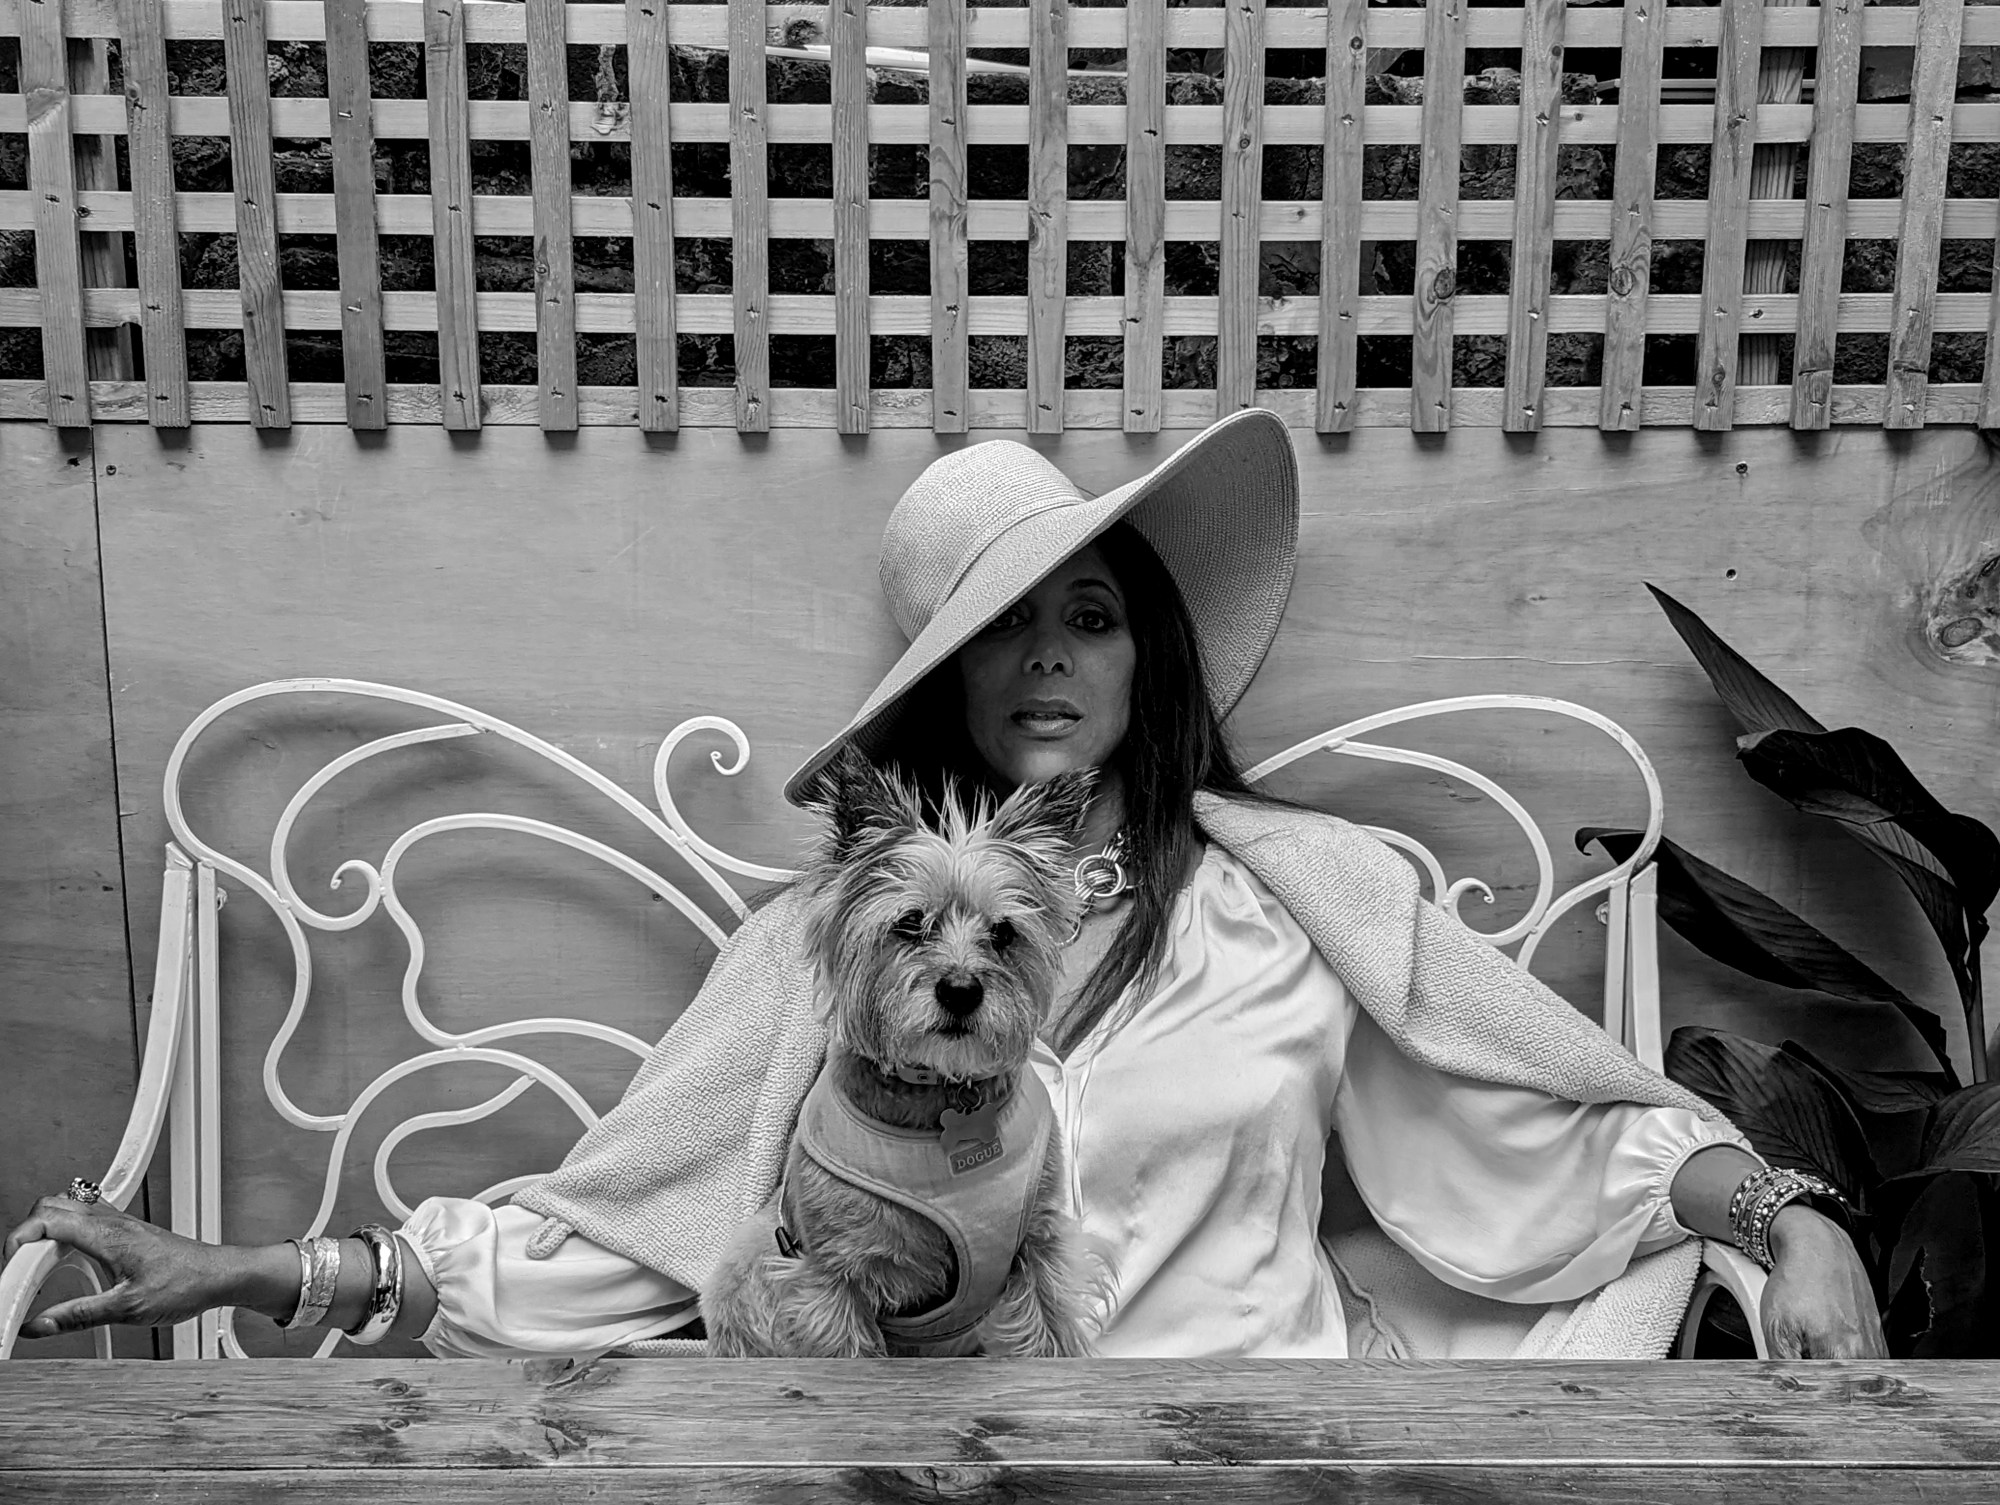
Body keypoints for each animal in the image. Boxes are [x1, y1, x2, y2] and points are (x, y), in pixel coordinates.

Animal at [704, 748, 1104, 1352]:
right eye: (911, 923)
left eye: (1004, 933)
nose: (961, 991)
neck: (943, 1093)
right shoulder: (830, 1283)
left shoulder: (1039, 1248)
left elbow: (1050, 1336)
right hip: (745, 1260)